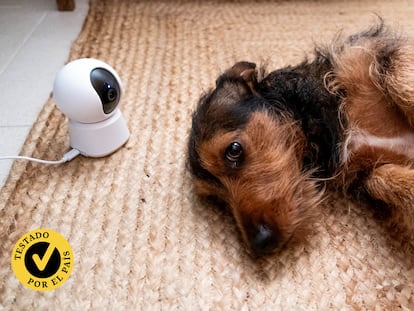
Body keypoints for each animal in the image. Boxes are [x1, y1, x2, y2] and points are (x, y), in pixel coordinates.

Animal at [187, 21, 414, 256]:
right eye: (217, 199)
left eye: (233, 150)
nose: (260, 245)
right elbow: (377, 178)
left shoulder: (373, 52)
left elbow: (397, 71)